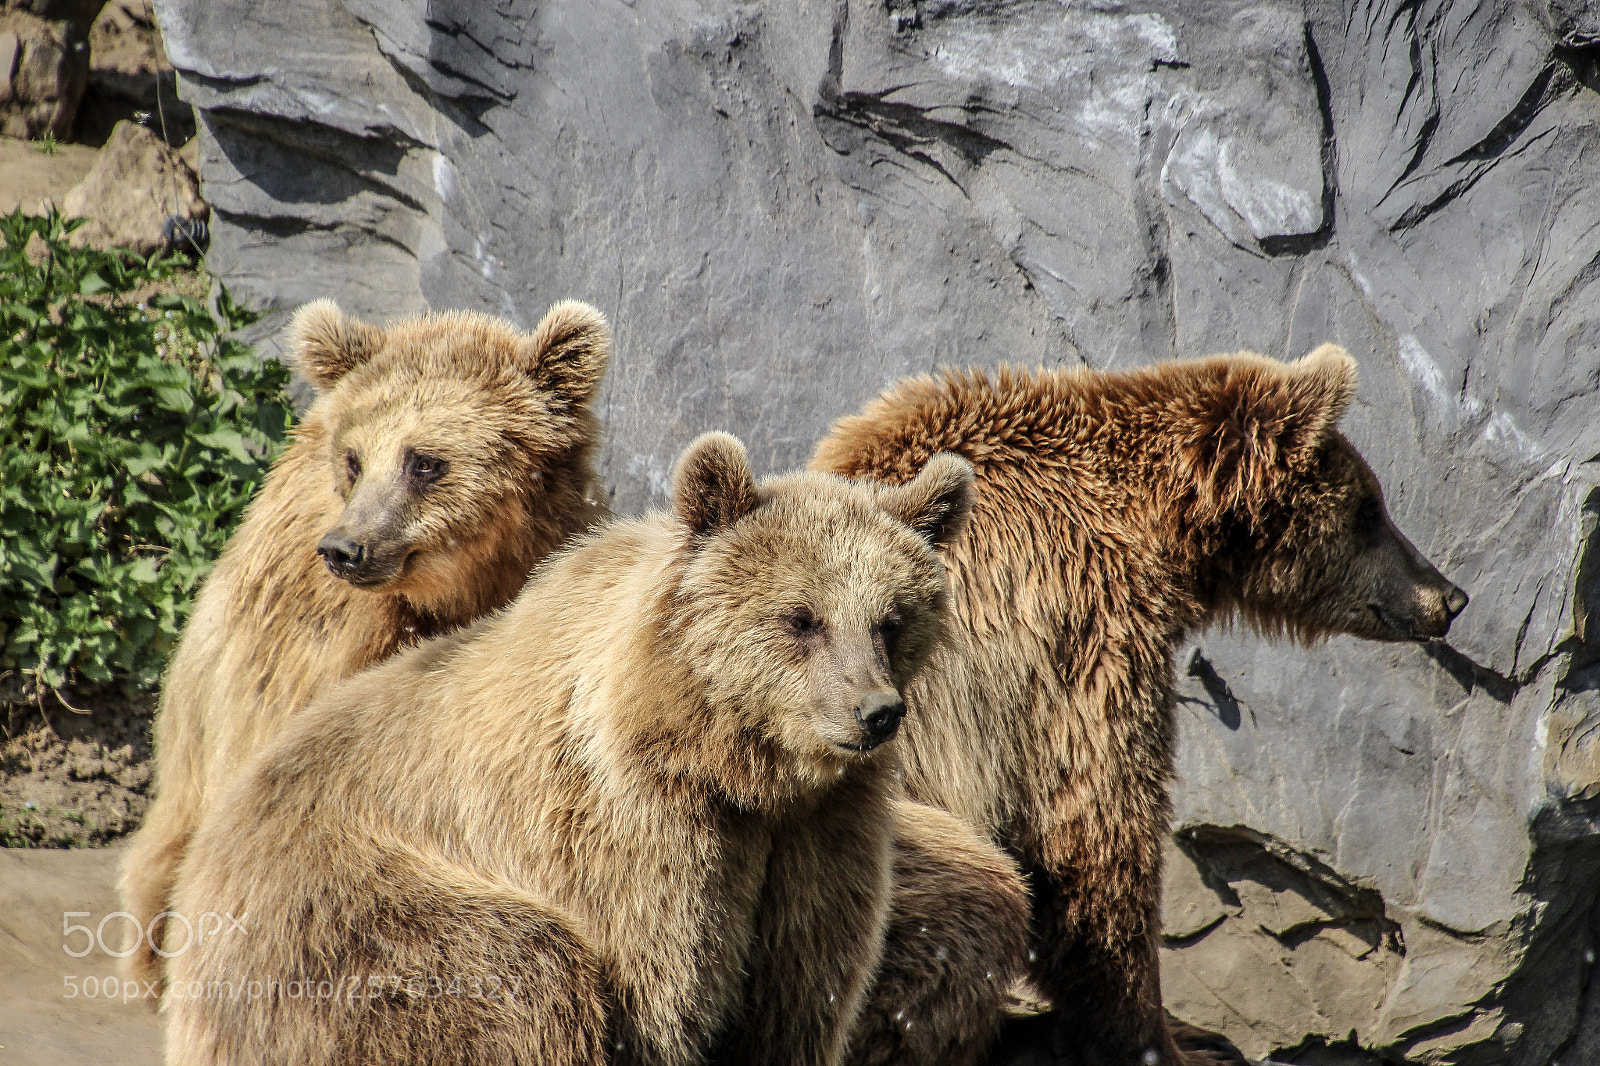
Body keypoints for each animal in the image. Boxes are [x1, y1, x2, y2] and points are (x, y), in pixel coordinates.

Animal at [162, 432, 1031, 1066]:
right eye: (801, 618)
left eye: (892, 619)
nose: (874, 712)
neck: (735, 766)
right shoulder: (634, 833)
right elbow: (658, 996)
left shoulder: (819, 839)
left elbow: (803, 999)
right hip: (351, 915)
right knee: (519, 972)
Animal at [810, 345, 1469, 1066]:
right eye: (1370, 508)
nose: (1448, 596)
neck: (1150, 535)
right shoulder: (1074, 639)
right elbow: (1097, 839)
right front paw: (1173, 1040)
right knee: (971, 898)